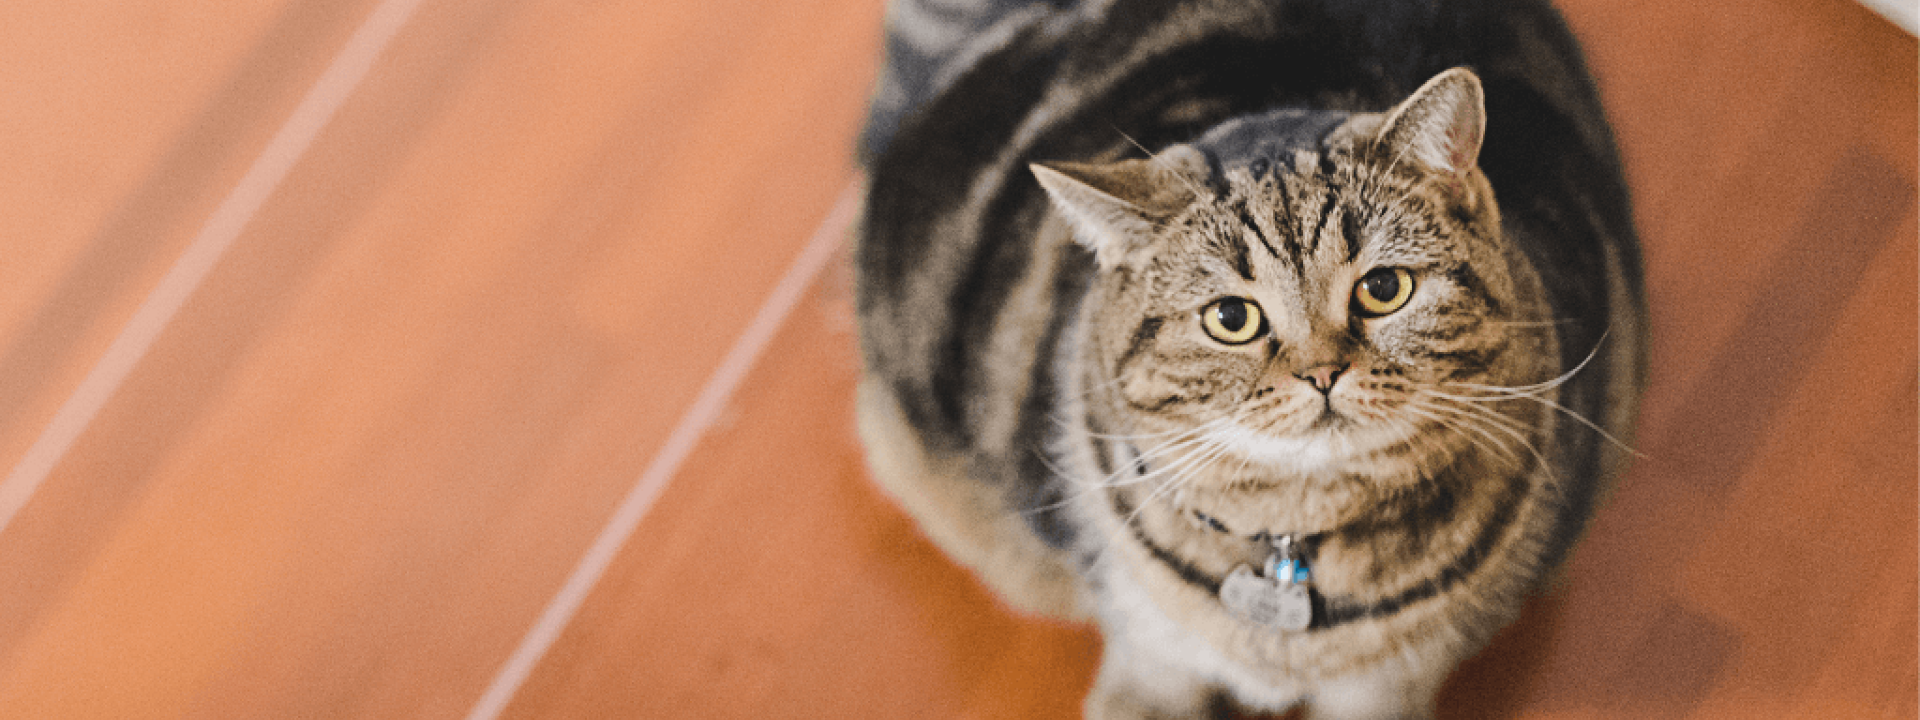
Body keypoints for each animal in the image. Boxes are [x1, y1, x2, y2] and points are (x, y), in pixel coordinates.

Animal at [856, 2, 1651, 718]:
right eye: (1231, 319)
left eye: (1385, 289)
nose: (1322, 373)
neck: (1289, 560)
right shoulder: (1151, 660)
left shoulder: (1386, 690)